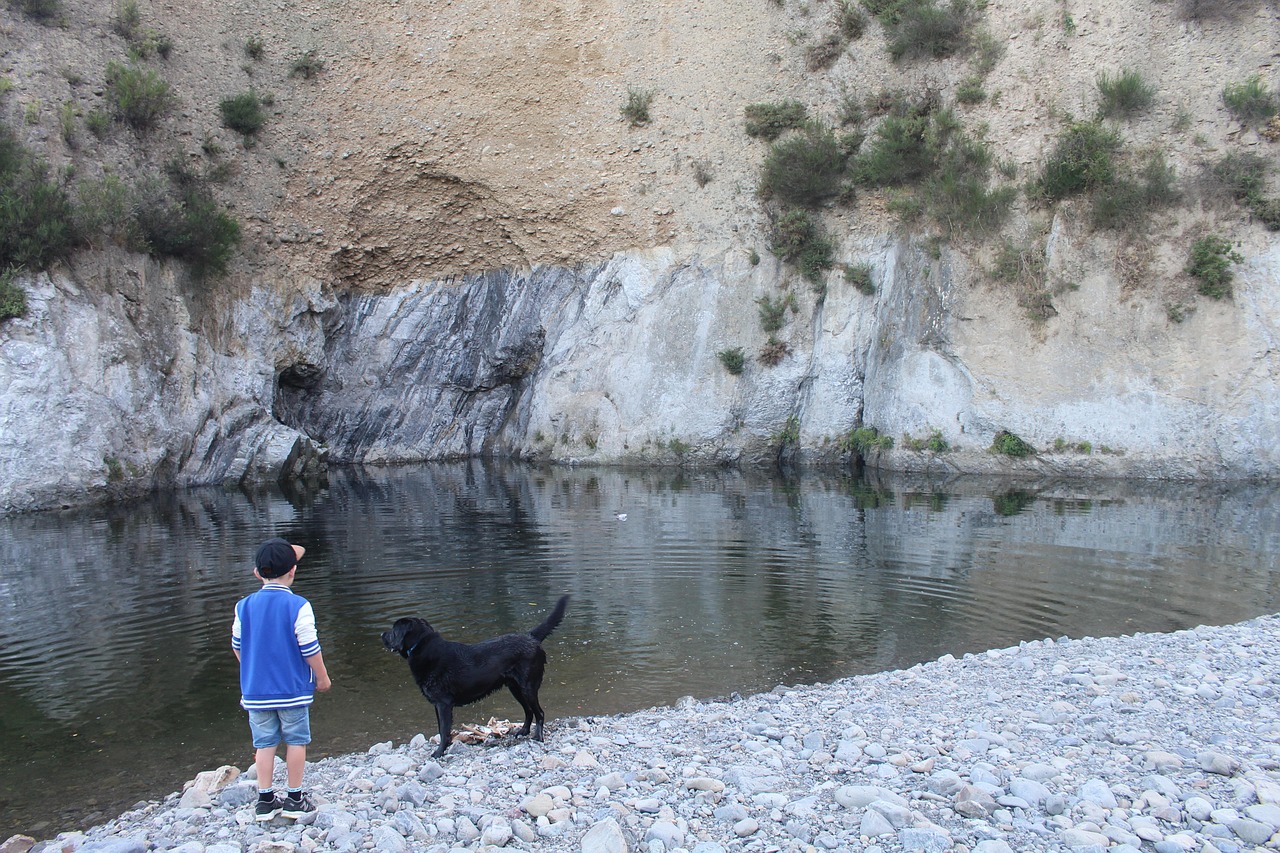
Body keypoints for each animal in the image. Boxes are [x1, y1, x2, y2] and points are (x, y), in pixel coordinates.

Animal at [378, 594, 570, 753]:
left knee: (540, 713)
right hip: (515, 688)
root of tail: (531, 637)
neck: (422, 647)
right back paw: (522, 731)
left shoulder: (443, 704)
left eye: (394, 630)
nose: (381, 634)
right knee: (529, 711)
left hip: (528, 687)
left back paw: (538, 737)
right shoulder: (437, 705)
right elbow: (441, 729)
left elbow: (443, 730)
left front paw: (438, 753)